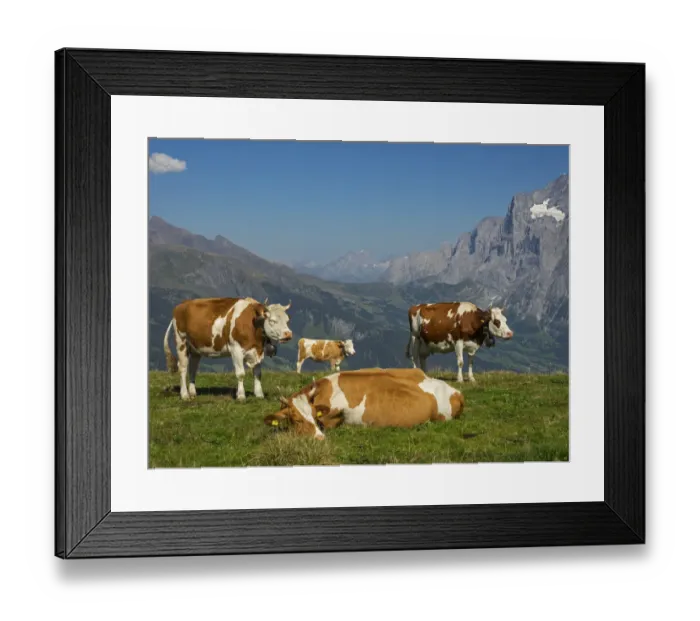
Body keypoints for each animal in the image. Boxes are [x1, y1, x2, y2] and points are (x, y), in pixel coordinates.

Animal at [163, 297, 292, 402]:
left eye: (287, 320)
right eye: (272, 321)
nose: (288, 334)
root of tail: (181, 305)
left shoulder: (257, 352)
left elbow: (257, 374)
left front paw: (259, 395)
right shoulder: (236, 350)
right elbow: (240, 374)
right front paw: (241, 396)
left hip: (195, 349)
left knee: (192, 369)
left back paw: (193, 392)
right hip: (181, 341)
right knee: (183, 368)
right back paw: (184, 395)